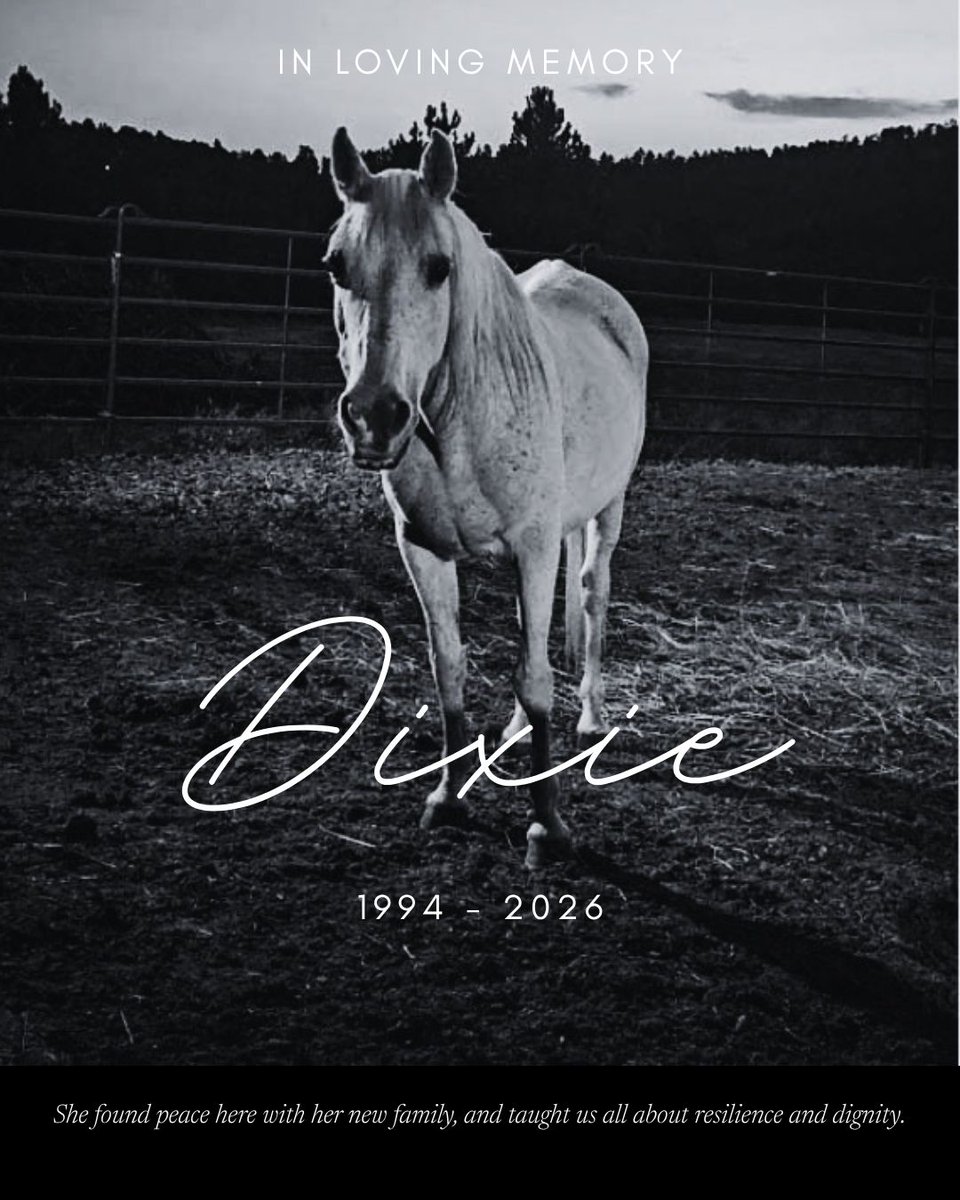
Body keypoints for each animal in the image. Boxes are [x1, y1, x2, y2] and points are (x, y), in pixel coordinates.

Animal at [326, 126, 648, 868]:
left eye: (439, 267)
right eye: (336, 266)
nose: (374, 416)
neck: (460, 424)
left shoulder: (534, 549)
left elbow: (536, 680)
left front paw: (547, 826)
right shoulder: (423, 551)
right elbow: (452, 670)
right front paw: (447, 798)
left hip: (607, 512)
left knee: (592, 595)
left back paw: (592, 716)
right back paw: (512, 732)